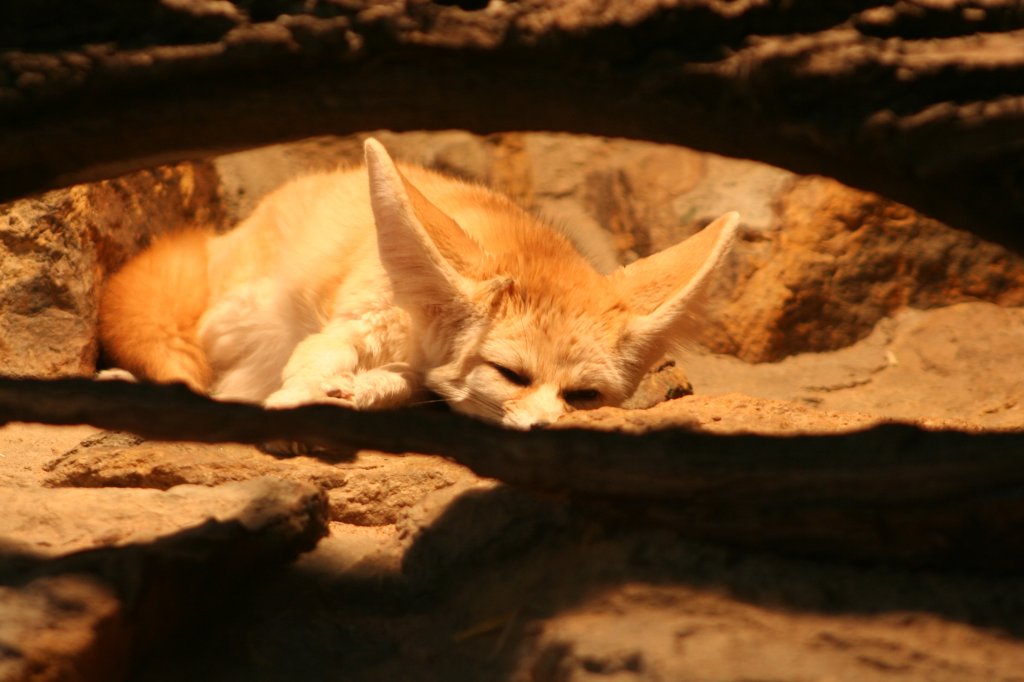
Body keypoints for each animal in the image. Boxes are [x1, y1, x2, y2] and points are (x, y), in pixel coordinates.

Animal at [99, 137, 737, 430]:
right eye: (512, 375)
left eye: (584, 397)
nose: (546, 430)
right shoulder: (363, 318)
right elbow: (318, 358)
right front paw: (303, 395)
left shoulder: (417, 372)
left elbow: (398, 387)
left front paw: (356, 393)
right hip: (237, 312)